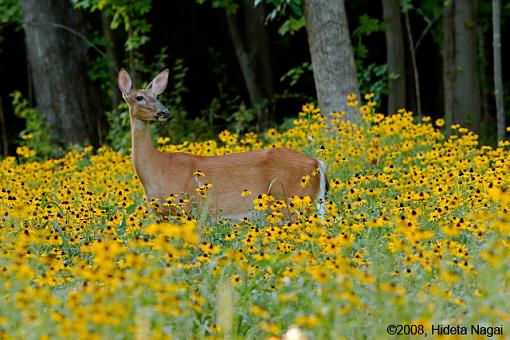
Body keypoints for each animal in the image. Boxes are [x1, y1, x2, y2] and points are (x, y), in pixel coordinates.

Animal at [118, 67, 328, 219]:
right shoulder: (158, 214)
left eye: (157, 96)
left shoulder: (187, 207)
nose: (165, 111)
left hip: (294, 200)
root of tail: (317, 163)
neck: (155, 170)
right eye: (139, 97)